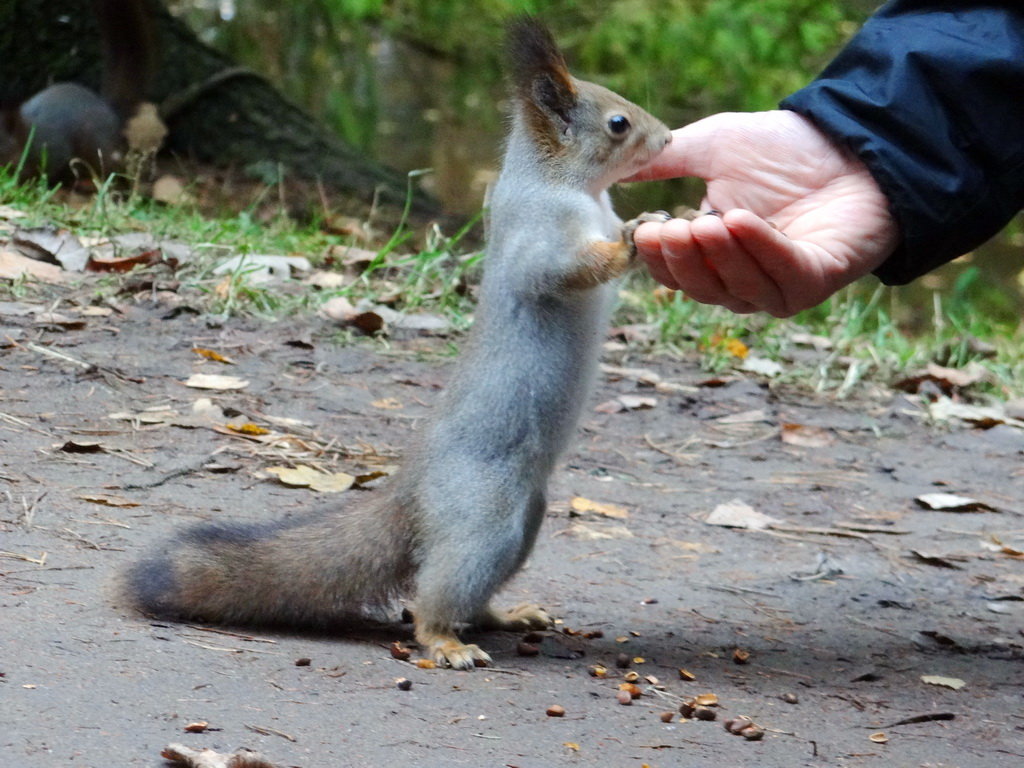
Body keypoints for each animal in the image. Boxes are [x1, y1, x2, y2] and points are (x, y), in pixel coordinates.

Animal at [0, 0, 155, 185]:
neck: (23, 133)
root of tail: (111, 111)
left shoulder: (49, 147)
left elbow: (48, 167)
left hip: (98, 146)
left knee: (109, 167)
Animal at [125, 16, 671, 667]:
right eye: (618, 123)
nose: (668, 139)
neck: (574, 188)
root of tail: (412, 495)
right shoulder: (537, 238)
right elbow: (563, 270)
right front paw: (632, 241)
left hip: (525, 520)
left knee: (471, 595)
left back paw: (505, 615)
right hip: (486, 516)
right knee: (437, 594)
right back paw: (445, 642)